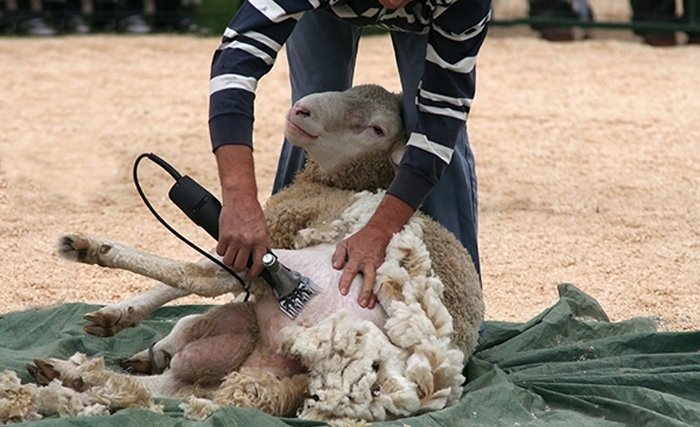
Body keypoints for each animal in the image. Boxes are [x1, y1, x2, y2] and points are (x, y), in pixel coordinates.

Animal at [21, 84, 482, 424]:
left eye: (375, 129)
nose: (301, 110)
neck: (335, 182)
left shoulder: (274, 228)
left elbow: (193, 274)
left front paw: (120, 312)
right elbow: (182, 317)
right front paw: (140, 335)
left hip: (304, 275)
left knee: (199, 279)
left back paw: (91, 251)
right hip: (252, 352)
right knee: (170, 385)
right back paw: (68, 377)